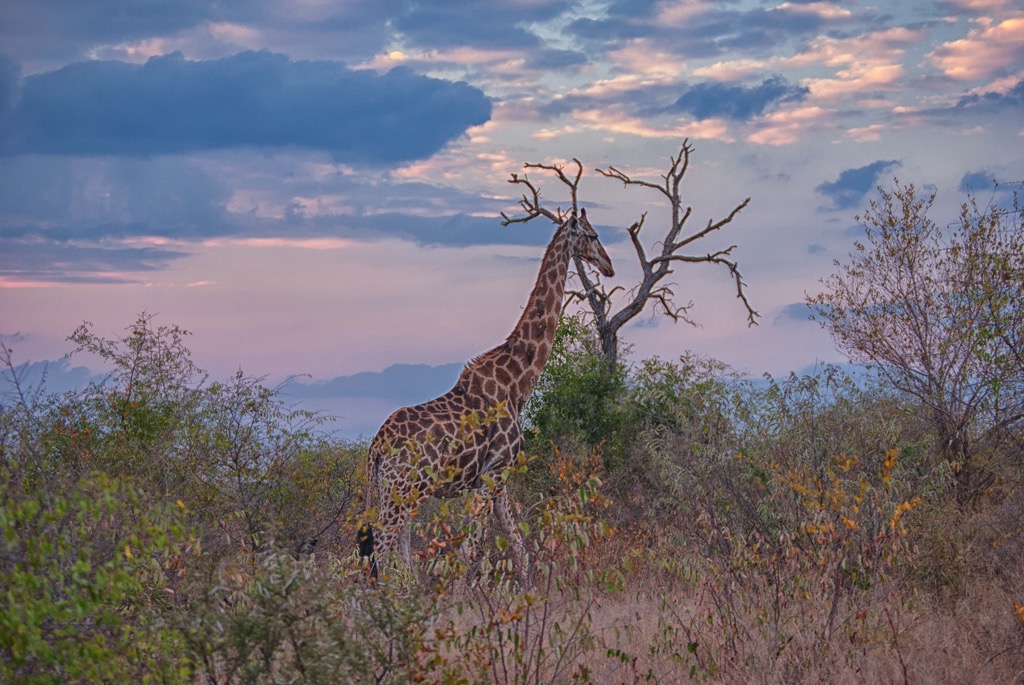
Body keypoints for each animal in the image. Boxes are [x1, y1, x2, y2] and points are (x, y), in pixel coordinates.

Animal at [362, 208, 614, 577]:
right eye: (593, 235)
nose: (609, 265)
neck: (516, 383)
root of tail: (377, 447)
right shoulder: (492, 475)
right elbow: (468, 552)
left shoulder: (500, 479)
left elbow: (520, 549)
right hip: (404, 489)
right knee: (380, 547)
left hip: (398, 491)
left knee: (400, 549)